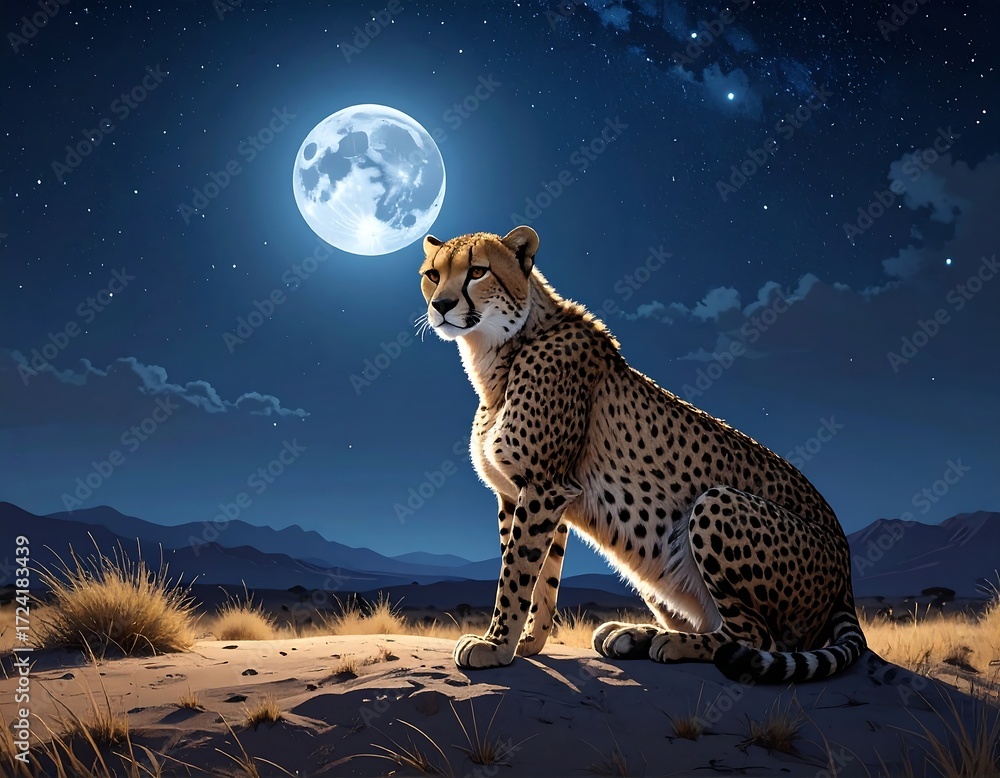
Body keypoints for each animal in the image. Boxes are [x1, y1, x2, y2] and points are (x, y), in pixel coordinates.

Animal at [418, 225, 866, 682]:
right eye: (433, 275)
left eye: (477, 271)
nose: (442, 306)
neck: (500, 349)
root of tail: (846, 565)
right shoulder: (529, 493)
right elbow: (541, 577)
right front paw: (526, 643)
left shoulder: (543, 486)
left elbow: (516, 573)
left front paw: (494, 645)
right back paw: (633, 634)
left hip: (714, 502)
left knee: (757, 637)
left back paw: (671, 642)